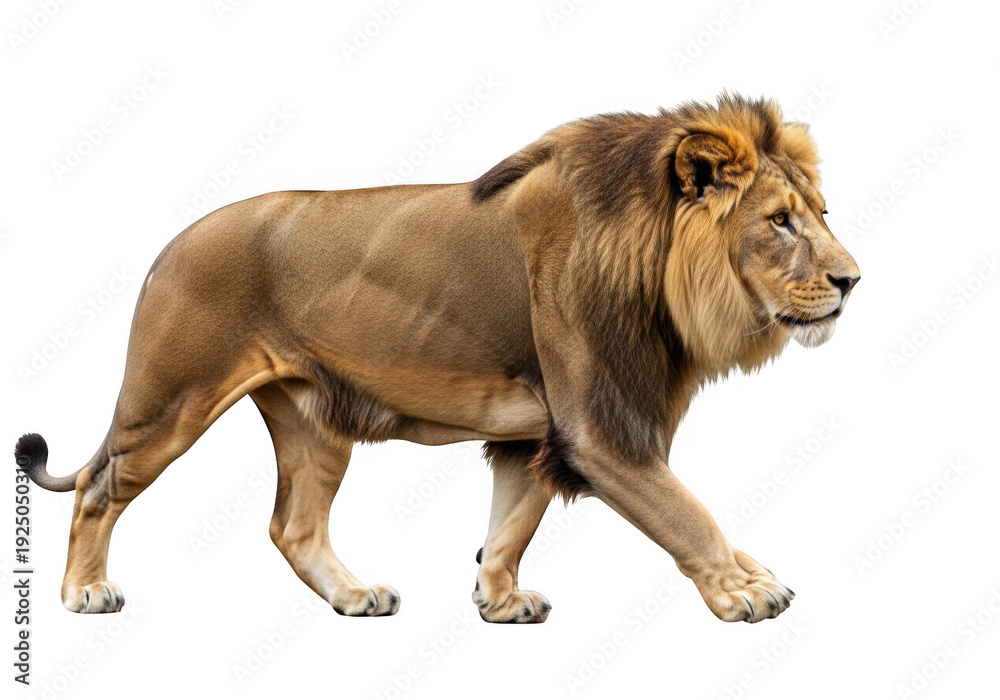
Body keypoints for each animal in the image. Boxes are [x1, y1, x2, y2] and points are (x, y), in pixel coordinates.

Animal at [15, 94, 858, 624]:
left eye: (820, 214)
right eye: (780, 222)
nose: (854, 280)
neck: (653, 268)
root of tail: (171, 243)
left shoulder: (535, 434)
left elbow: (512, 521)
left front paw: (499, 600)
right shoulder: (599, 431)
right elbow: (688, 515)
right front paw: (745, 590)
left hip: (313, 422)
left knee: (294, 526)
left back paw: (355, 597)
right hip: (173, 399)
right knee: (97, 486)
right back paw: (86, 594)